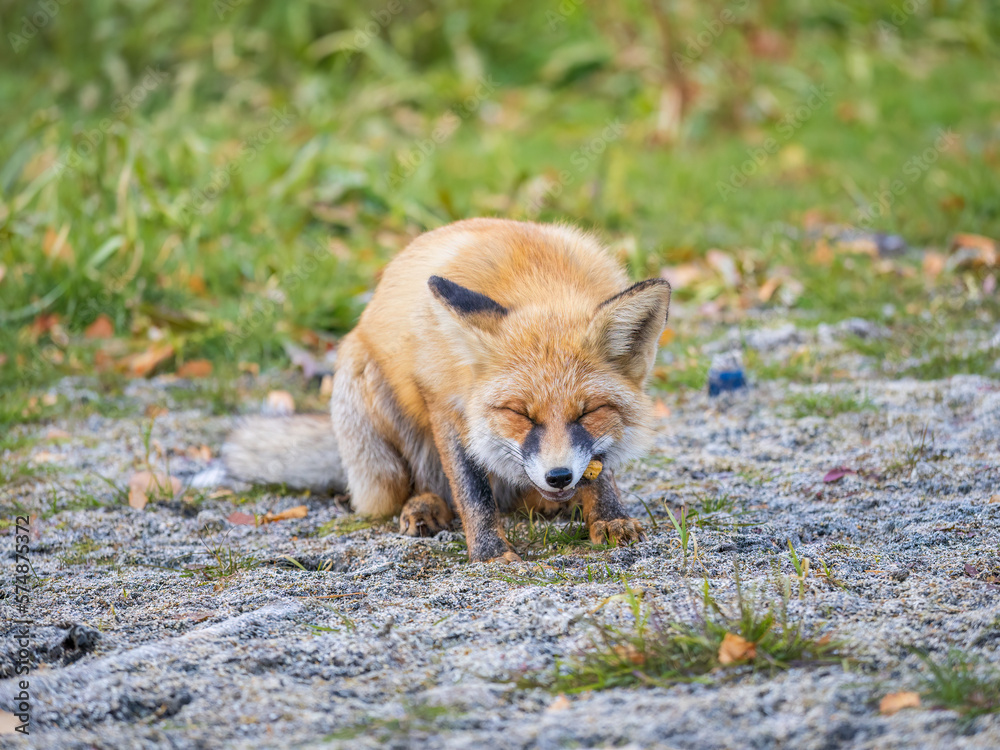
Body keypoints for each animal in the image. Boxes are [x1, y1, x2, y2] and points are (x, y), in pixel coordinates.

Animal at [223, 218, 671, 562]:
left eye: (587, 412)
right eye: (519, 414)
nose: (558, 477)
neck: (539, 276)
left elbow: (600, 469)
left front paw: (608, 516)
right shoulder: (444, 400)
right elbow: (472, 490)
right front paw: (490, 552)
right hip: (369, 409)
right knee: (413, 487)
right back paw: (424, 506)